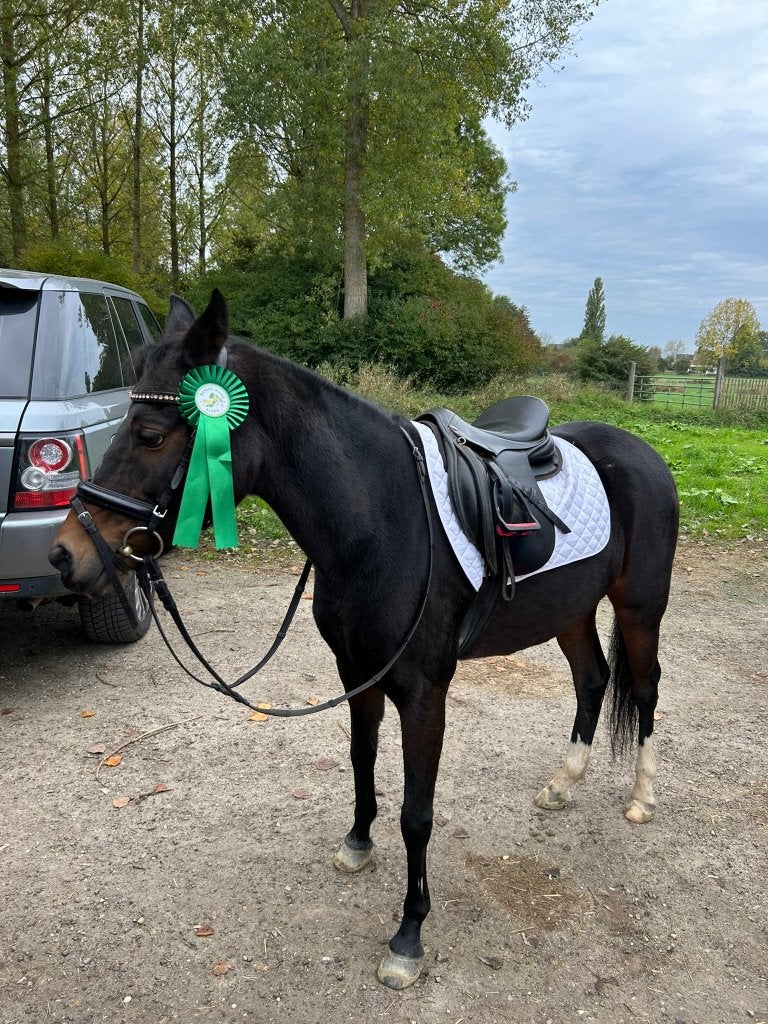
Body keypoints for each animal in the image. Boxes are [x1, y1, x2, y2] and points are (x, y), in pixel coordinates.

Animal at [50, 290, 679, 990]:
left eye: (152, 435)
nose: (67, 553)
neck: (381, 519)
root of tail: (641, 451)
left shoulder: (425, 693)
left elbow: (417, 812)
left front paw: (409, 936)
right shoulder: (356, 674)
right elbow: (360, 762)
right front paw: (356, 844)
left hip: (639, 610)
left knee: (645, 691)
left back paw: (642, 798)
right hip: (570, 612)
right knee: (592, 680)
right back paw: (564, 785)